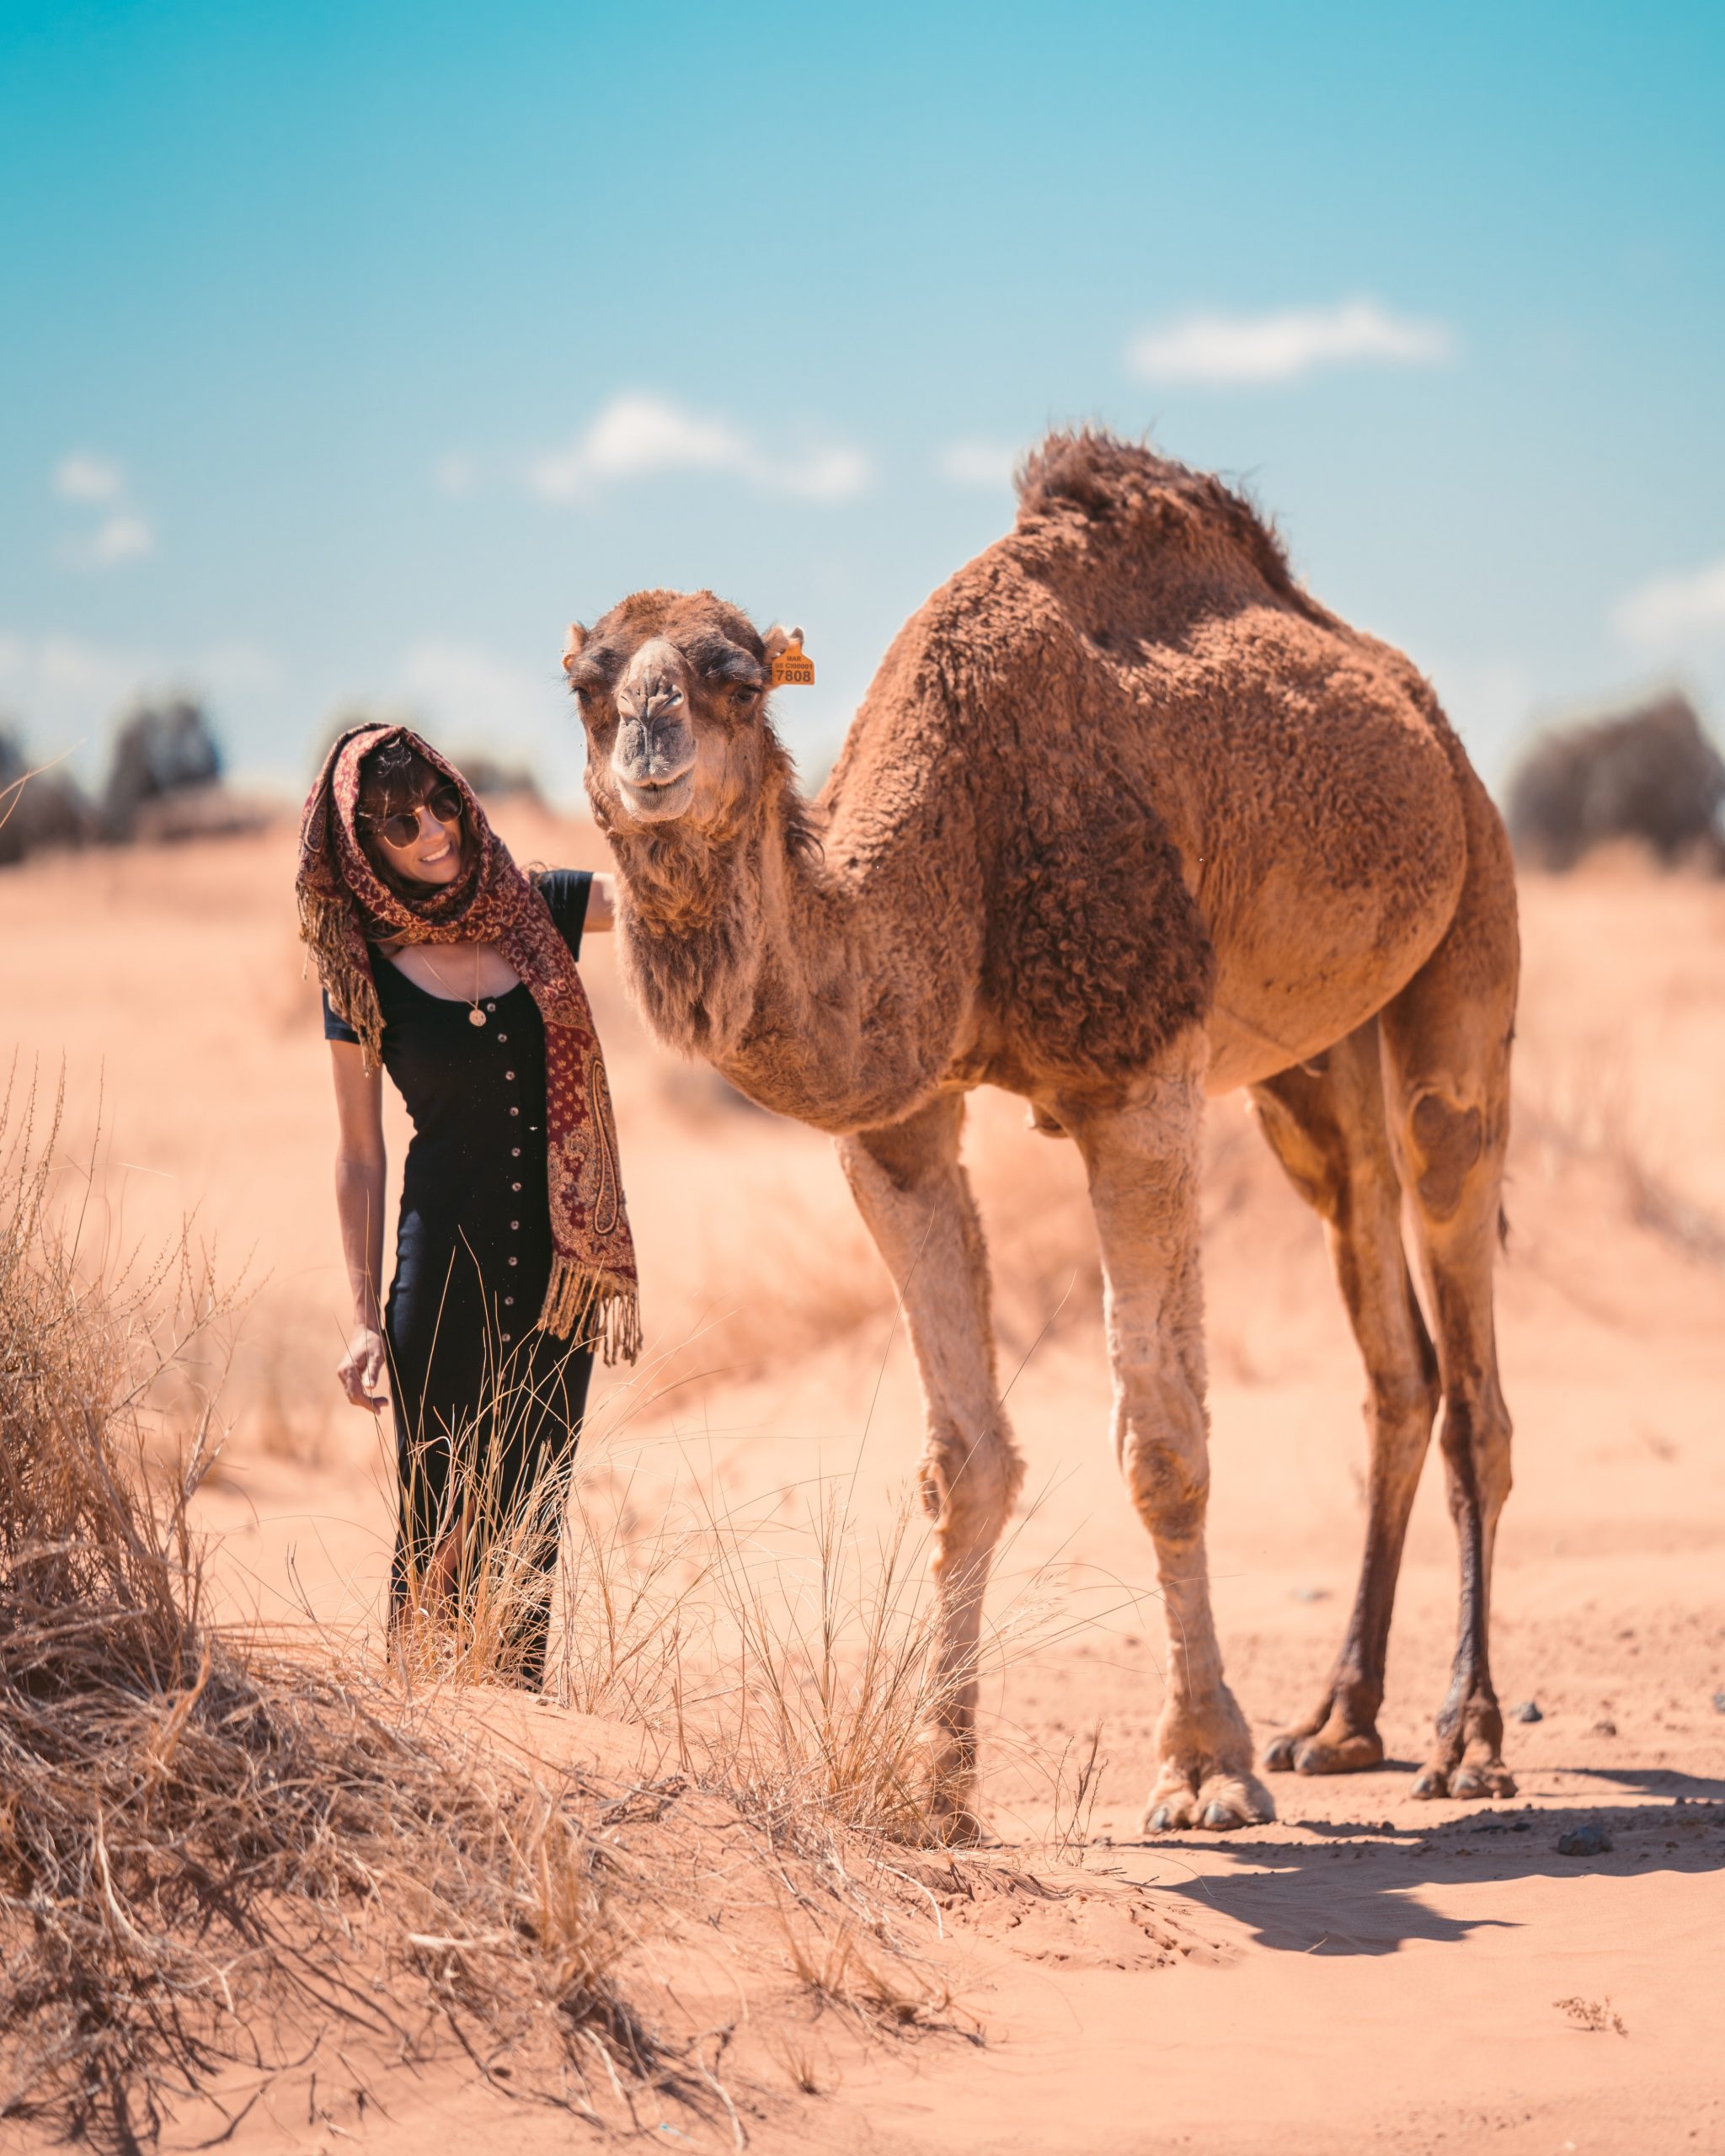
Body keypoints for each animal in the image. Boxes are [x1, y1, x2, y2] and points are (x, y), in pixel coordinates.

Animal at [560, 433, 1518, 1837]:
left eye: (734, 678)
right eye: (587, 681)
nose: (648, 745)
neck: (955, 845)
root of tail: (1422, 713)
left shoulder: (1139, 1074)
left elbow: (1165, 1442)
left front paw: (1203, 1767)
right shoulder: (897, 1123)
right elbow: (965, 1461)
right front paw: (937, 1783)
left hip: (1470, 930)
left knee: (1463, 1314)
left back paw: (1469, 1737)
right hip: (1309, 1078)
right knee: (1394, 1349)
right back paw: (1340, 1722)